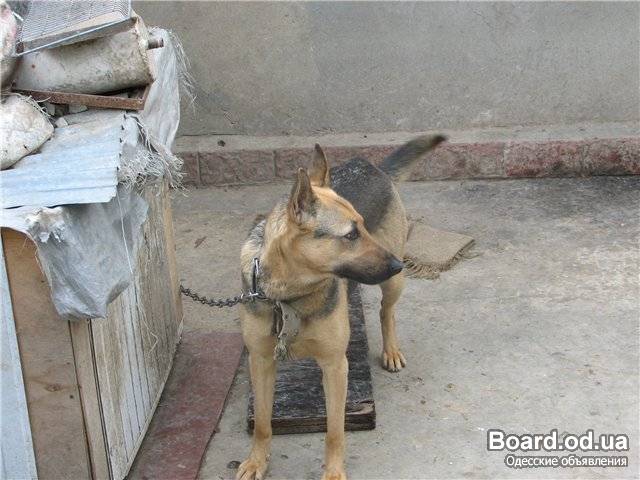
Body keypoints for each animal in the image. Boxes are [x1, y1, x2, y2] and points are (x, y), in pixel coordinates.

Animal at [237, 134, 446, 480]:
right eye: (350, 235)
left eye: (362, 225)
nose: (398, 264)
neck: (290, 292)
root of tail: (372, 166)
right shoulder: (261, 361)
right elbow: (263, 425)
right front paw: (256, 462)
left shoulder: (336, 366)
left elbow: (335, 430)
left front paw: (333, 473)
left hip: (392, 284)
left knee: (386, 312)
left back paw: (391, 349)